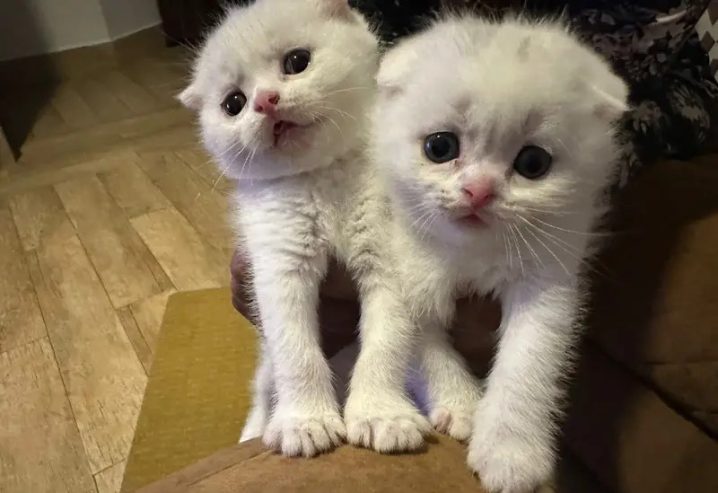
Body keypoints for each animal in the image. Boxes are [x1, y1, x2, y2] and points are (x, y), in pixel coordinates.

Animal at [180, 0, 430, 456]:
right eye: (234, 103)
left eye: (297, 62)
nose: (265, 101)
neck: (321, 177)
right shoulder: (278, 266)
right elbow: (296, 353)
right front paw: (304, 421)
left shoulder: (390, 261)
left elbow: (386, 345)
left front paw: (382, 414)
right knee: (263, 392)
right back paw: (256, 430)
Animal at [376, 15, 632, 492]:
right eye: (440, 147)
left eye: (533, 163)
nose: (479, 191)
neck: (474, 252)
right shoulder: (403, 263)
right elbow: (422, 345)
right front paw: (461, 402)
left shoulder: (549, 279)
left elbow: (528, 363)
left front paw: (510, 451)